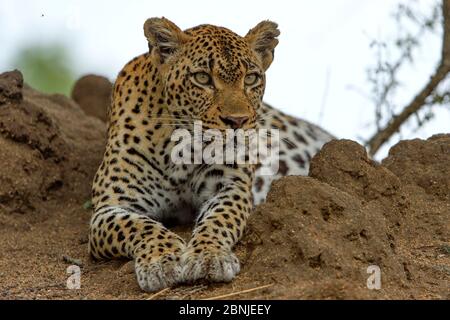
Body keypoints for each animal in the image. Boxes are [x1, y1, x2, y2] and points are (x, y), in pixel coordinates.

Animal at [89, 17, 334, 292]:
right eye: (202, 78)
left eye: (251, 79)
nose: (237, 121)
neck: (181, 152)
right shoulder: (110, 207)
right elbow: (139, 226)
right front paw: (162, 260)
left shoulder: (230, 187)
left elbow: (219, 219)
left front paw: (209, 256)